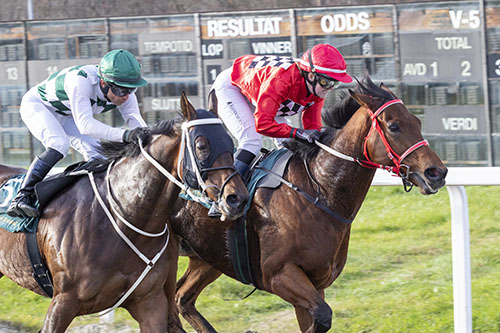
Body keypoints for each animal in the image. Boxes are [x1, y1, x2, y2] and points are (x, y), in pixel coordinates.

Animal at [0, 93, 248, 332]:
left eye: (229, 141)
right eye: (201, 145)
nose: (237, 199)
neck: (123, 218)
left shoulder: (150, 302)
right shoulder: (63, 302)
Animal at [168, 76, 450, 330]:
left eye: (417, 121)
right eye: (394, 126)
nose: (437, 172)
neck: (317, 192)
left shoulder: (315, 282)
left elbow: (316, 317)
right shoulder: (279, 275)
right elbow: (323, 316)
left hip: (207, 257)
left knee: (181, 297)